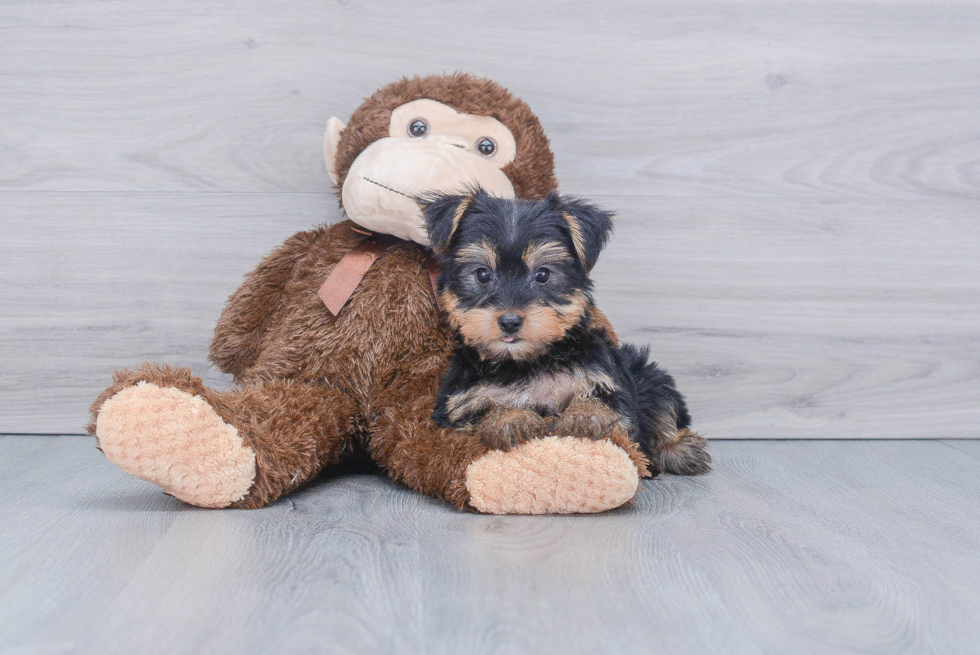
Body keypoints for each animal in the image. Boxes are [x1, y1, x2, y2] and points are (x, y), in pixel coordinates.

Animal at [424, 190, 708, 476]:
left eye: (543, 275)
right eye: (482, 274)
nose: (510, 321)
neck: (527, 361)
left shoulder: (610, 384)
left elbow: (606, 404)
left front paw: (582, 417)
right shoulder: (456, 407)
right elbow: (483, 411)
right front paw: (510, 419)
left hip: (647, 373)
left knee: (663, 405)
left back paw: (682, 449)